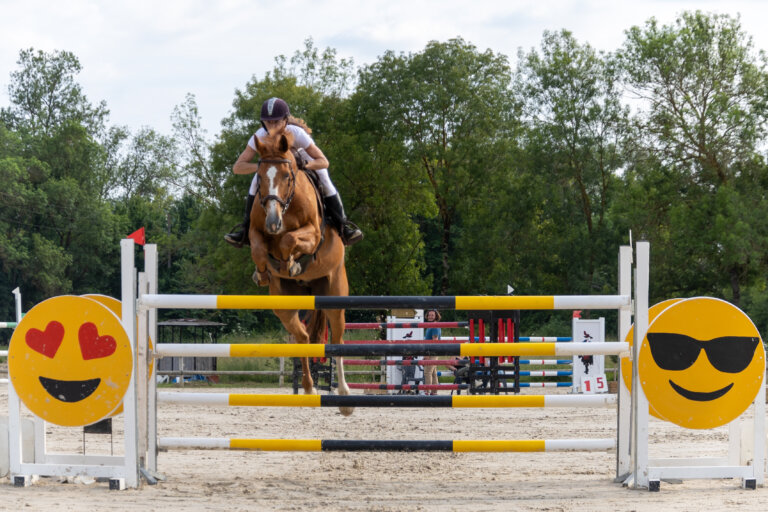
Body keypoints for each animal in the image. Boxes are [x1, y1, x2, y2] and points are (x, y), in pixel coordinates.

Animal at [247, 130, 353, 416]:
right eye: (260, 176)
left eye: (287, 176)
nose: (273, 222)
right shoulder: (256, 233)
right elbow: (260, 247)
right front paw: (264, 272)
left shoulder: (313, 234)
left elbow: (290, 240)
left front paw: (292, 262)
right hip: (285, 303)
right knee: (302, 336)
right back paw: (308, 387)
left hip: (334, 295)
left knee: (337, 340)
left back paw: (345, 397)